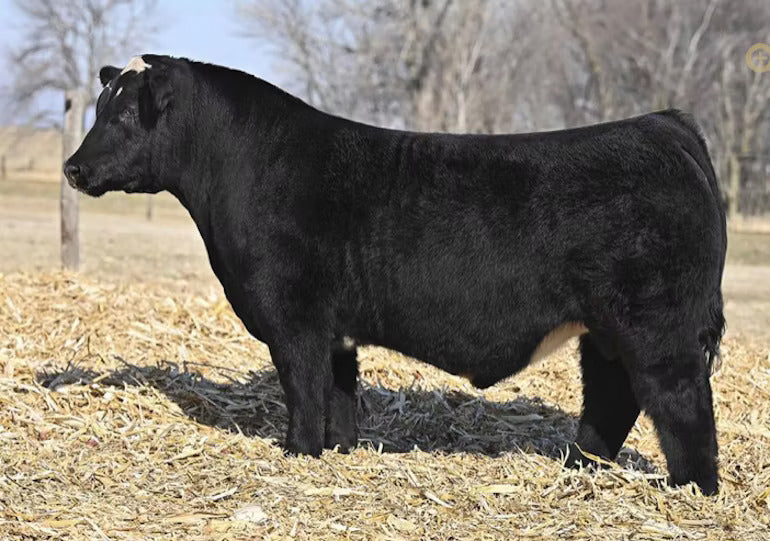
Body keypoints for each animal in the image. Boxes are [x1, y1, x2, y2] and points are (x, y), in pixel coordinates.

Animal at [64, 55, 727, 495]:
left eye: (125, 115)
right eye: (98, 109)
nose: (72, 168)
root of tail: (661, 124)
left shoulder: (294, 318)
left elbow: (302, 390)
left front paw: (297, 453)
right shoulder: (335, 328)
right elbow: (337, 394)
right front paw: (338, 449)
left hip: (656, 326)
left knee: (680, 399)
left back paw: (691, 490)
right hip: (607, 330)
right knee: (613, 396)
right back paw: (580, 465)